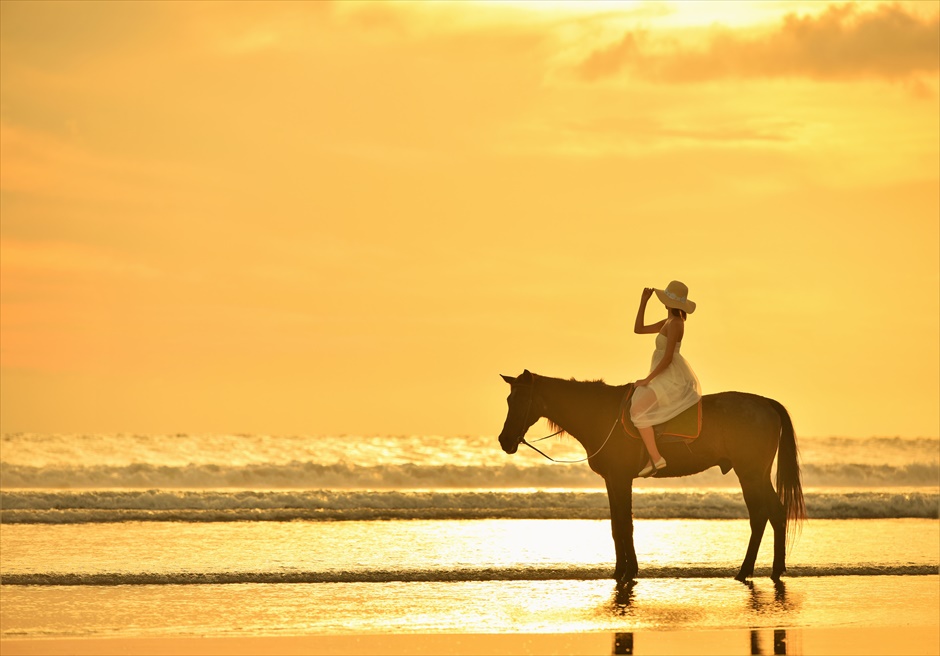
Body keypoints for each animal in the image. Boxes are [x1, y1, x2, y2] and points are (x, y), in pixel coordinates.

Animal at [496, 369, 805, 584]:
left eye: (520, 399)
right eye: (508, 399)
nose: (504, 440)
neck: (600, 414)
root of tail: (766, 404)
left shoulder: (621, 478)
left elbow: (625, 525)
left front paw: (628, 571)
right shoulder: (612, 480)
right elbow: (616, 526)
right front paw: (620, 570)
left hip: (750, 473)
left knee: (761, 515)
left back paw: (748, 571)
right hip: (757, 474)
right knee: (775, 514)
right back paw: (771, 569)